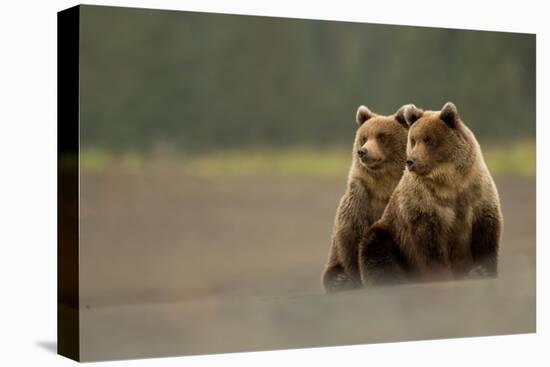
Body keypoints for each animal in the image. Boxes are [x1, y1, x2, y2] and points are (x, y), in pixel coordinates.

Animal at [322, 104, 412, 294]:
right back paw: (340, 280)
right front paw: (353, 279)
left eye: (381, 135)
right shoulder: (359, 198)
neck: (383, 185)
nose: (363, 151)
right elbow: (352, 236)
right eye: (364, 137)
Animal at [358, 102, 504, 286]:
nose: (411, 161)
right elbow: (430, 243)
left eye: (429, 139)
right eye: (413, 140)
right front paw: (441, 275)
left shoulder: (476, 192)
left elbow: (486, 233)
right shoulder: (424, 204)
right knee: (376, 247)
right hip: (391, 236)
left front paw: (484, 270)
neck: (450, 182)